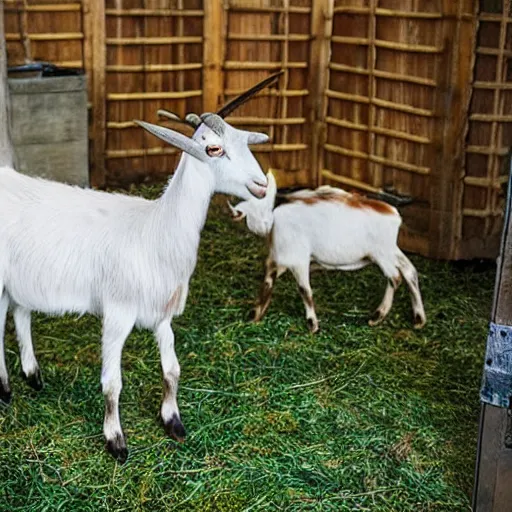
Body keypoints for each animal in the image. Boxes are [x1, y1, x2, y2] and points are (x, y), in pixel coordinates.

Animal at [0, 113, 270, 464]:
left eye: (246, 140)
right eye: (214, 148)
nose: (262, 185)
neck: (156, 229)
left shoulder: (162, 315)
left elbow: (172, 370)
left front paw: (173, 421)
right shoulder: (118, 311)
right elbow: (112, 384)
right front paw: (115, 440)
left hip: (21, 278)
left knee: (19, 311)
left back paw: (32, 374)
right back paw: (5, 388)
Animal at [230, 172, 426, 332]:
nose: (236, 213)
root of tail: (394, 215)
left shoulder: (297, 261)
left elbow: (304, 290)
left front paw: (312, 324)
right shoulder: (279, 260)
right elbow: (267, 282)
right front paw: (255, 314)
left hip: (382, 254)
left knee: (395, 277)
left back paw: (378, 315)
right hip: (391, 250)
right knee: (409, 271)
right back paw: (418, 319)